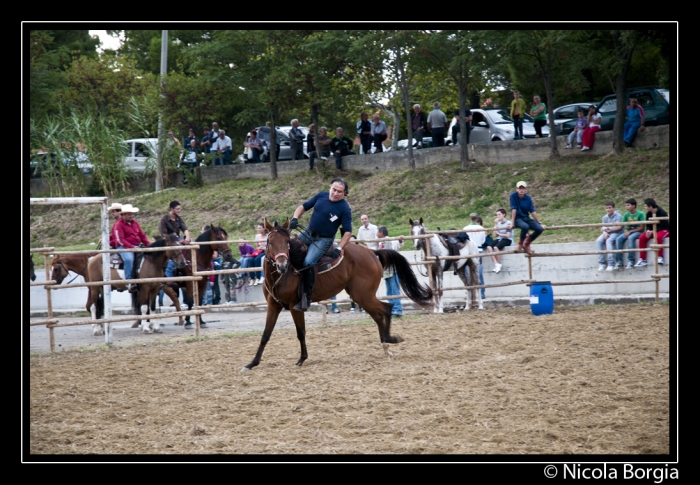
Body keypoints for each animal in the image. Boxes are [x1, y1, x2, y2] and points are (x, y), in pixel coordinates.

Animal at [243, 217, 434, 372]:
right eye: (270, 242)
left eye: (287, 242)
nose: (282, 265)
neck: (283, 275)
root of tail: (372, 253)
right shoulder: (273, 305)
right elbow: (266, 335)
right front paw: (252, 363)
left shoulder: (295, 306)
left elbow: (300, 332)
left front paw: (301, 359)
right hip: (361, 297)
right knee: (379, 315)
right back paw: (386, 346)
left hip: (363, 296)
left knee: (386, 308)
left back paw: (390, 339)